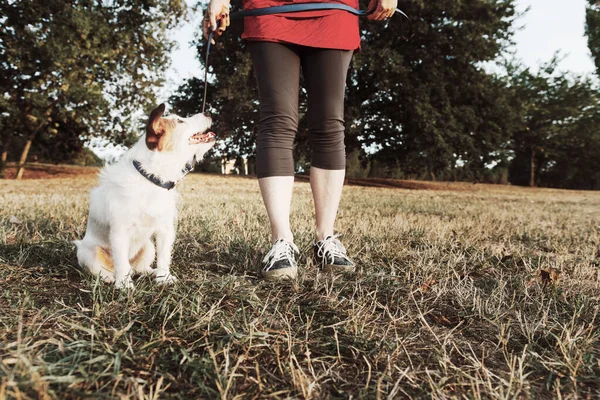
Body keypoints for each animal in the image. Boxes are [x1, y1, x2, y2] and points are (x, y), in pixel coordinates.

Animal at [74, 104, 216, 290]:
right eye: (179, 121)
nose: (209, 112)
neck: (150, 179)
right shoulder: (119, 232)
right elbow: (121, 262)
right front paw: (124, 284)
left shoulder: (165, 230)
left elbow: (164, 257)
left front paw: (164, 277)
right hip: (88, 252)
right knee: (104, 268)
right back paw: (109, 277)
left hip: (148, 247)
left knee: (139, 268)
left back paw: (151, 272)